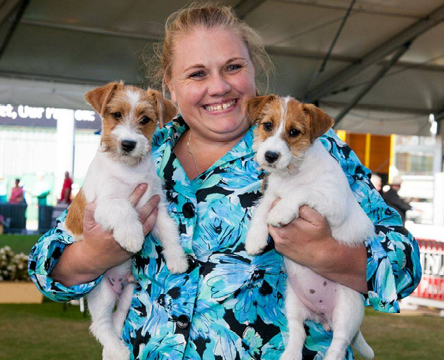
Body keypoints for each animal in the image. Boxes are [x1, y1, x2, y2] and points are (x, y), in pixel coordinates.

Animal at [63, 83, 187, 360]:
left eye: (145, 120)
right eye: (116, 114)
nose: (128, 143)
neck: (129, 169)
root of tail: (119, 287)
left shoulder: (157, 205)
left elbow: (169, 231)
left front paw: (177, 260)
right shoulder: (102, 204)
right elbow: (123, 207)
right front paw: (132, 236)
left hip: (131, 292)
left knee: (118, 318)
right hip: (102, 292)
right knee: (101, 324)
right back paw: (118, 349)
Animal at [246, 95, 374, 360]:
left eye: (294, 132)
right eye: (267, 125)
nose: (270, 156)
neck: (293, 172)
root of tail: (323, 318)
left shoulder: (333, 203)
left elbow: (302, 192)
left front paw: (281, 212)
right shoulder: (272, 193)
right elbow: (263, 208)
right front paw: (255, 239)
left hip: (348, 310)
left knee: (338, 344)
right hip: (293, 304)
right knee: (298, 333)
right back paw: (290, 354)